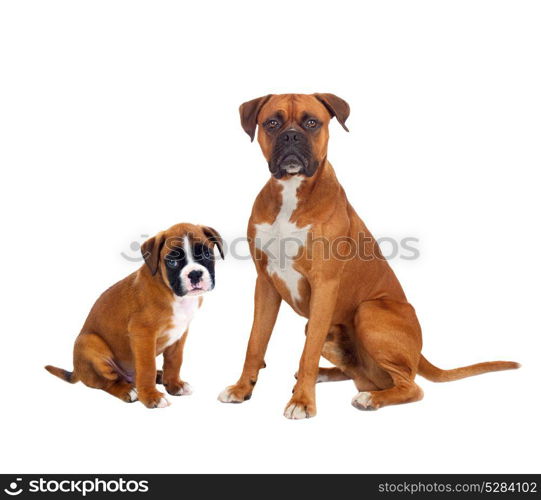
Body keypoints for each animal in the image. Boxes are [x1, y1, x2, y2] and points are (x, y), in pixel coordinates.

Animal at [46, 225, 223, 408]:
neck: (173, 294)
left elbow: (174, 360)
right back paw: (127, 390)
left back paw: (160, 376)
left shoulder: (180, 334)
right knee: (106, 382)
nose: (194, 274)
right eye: (172, 262)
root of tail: (76, 371)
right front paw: (151, 396)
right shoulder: (143, 334)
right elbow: (146, 367)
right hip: (89, 342)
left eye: (206, 254)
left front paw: (174, 384)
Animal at [217, 93, 516, 418]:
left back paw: (370, 398)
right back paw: (327, 377)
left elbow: (307, 353)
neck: (291, 192)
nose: (291, 136)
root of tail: (419, 353)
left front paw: (302, 401)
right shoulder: (265, 284)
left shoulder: (324, 285)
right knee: (362, 374)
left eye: (312, 123)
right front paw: (242, 388)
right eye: (272, 123)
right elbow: (255, 343)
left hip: (368, 311)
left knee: (409, 385)